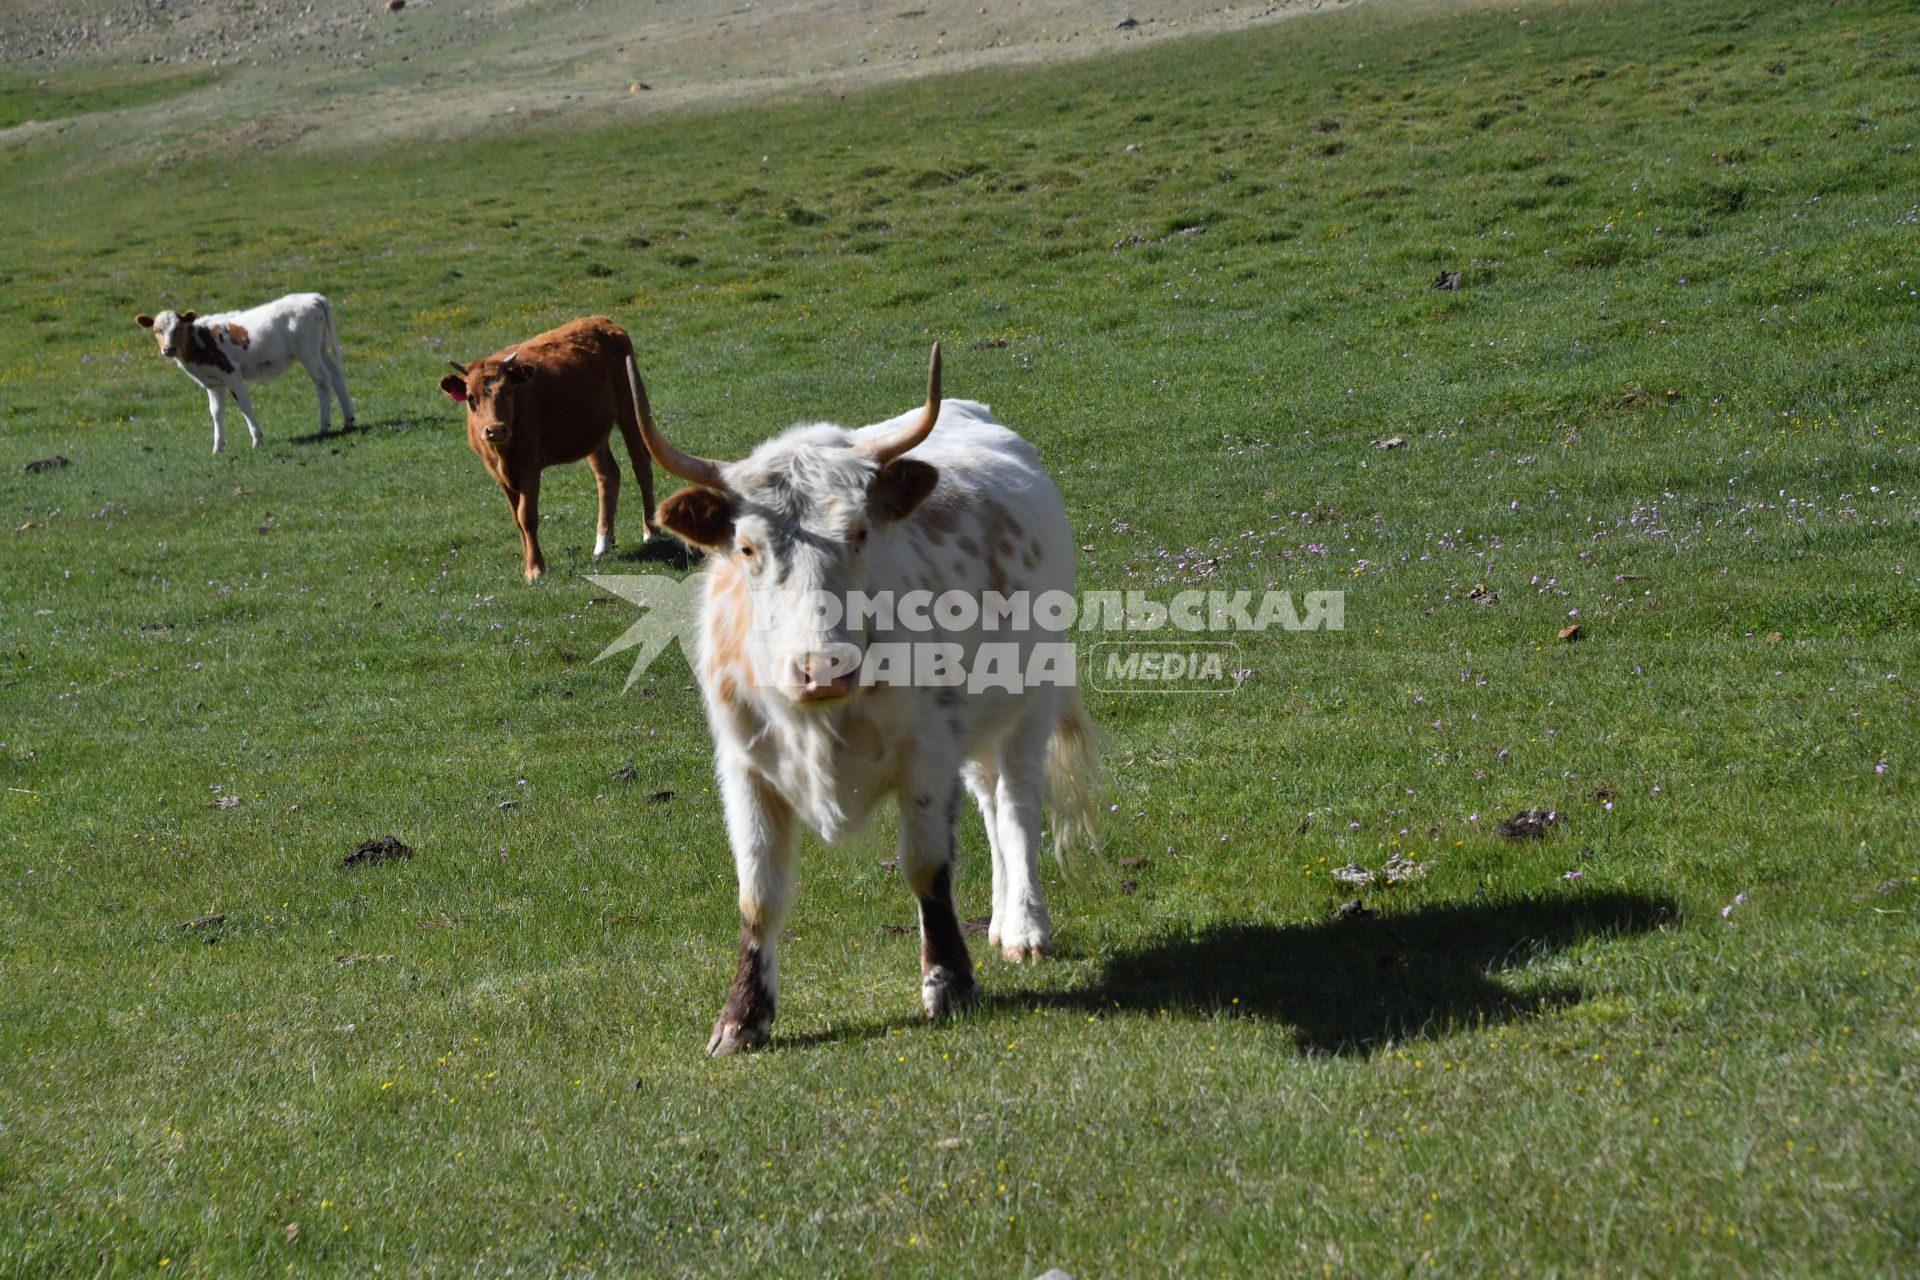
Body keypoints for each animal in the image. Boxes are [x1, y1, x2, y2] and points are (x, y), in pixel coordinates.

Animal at [140, 291, 360, 454]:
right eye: (157, 330)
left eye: (179, 328)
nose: (168, 349)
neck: (199, 342)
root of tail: (312, 297)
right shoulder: (213, 382)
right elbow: (216, 412)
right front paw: (217, 448)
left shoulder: (231, 372)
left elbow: (244, 406)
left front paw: (257, 439)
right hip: (320, 348)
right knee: (336, 375)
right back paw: (348, 421)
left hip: (307, 351)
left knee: (322, 379)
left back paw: (324, 426)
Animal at [441, 318, 660, 583]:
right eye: (471, 398)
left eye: (508, 391)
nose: (495, 429)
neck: (504, 453)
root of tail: (601, 321)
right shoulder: (498, 474)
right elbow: (517, 520)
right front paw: (528, 566)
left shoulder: (530, 467)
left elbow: (527, 517)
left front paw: (536, 569)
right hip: (593, 433)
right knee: (608, 474)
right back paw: (603, 543)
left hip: (629, 407)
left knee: (641, 463)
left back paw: (650, 530)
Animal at [637, 345, 1105, 1059]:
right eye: (747, 546)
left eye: (859, 532)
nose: (821, 667)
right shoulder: (745, 768)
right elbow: (759, 894)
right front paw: (741, 1018)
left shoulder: (927, 753)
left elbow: (927, 868)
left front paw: (950, 985)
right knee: (990, 799)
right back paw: (1001, 919)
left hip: (1033, 694)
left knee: (1018, 802)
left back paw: (1025, 925)